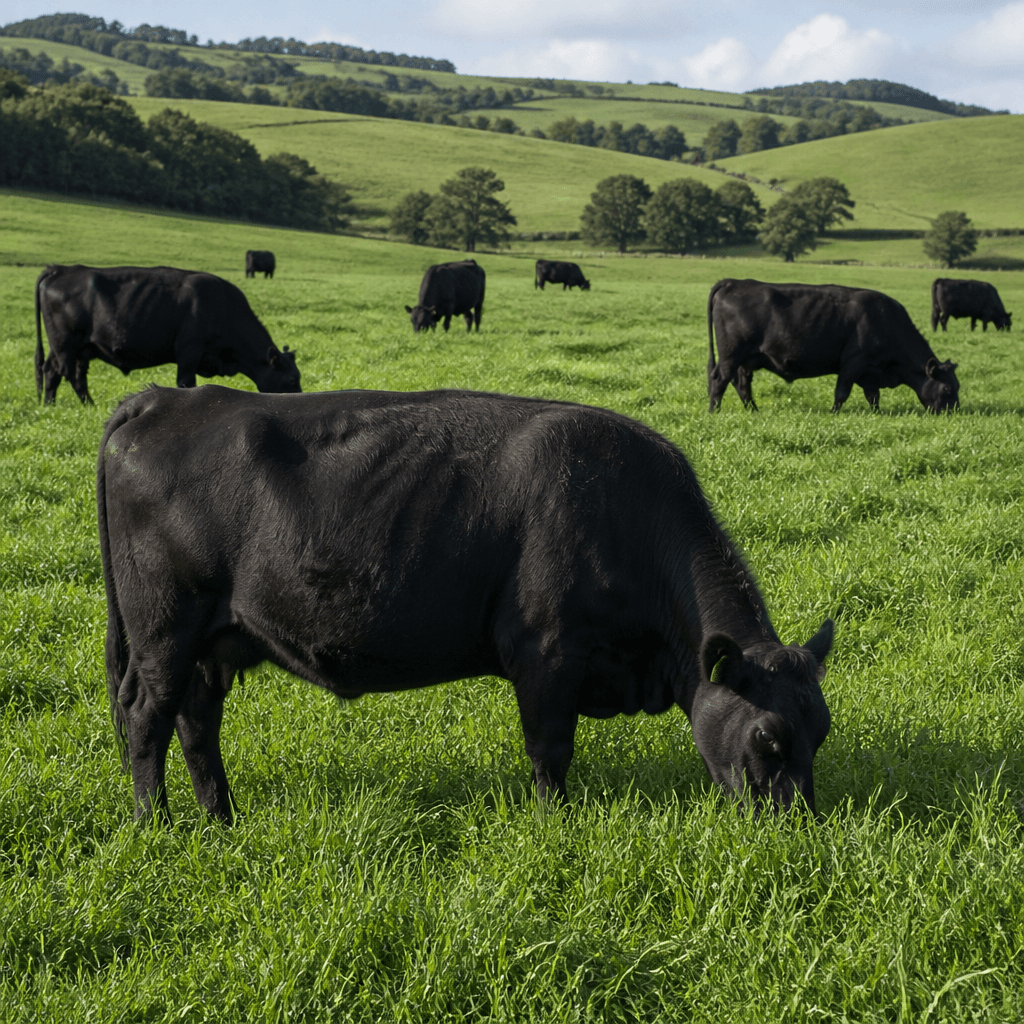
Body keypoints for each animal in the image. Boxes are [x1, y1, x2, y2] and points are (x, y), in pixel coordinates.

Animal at [35, 265, 301, 404]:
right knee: (60, 373)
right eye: (291, 380)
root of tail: (60, 269)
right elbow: (186, 383)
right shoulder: (189, 352)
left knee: (65, 374)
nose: (301, 398)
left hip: (78, 349)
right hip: (65, 345)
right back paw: (59, 404)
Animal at [99, 384, 835, 825]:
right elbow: (551, 749)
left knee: (197, 721)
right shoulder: (546, 652)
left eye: (821, 730)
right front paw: (554, 824)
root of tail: (164, 398)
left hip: (211, 641)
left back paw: (221, 818)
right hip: (163, 627)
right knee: (147, 717)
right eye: (768, 737)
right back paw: (155, 823)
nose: (799, 827)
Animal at [707, 279, 960, 414]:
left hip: (744, 361)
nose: (955, 412)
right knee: (719, 379)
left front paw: (877, 414)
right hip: (731, 355)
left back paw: (754, 411)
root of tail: (734, 283)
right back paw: (714, 411)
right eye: (948, 388)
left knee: (741, 384)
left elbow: (873, 396)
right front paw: (833, 413)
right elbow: (842, 392)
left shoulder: (870, 371)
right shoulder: (853, 363)